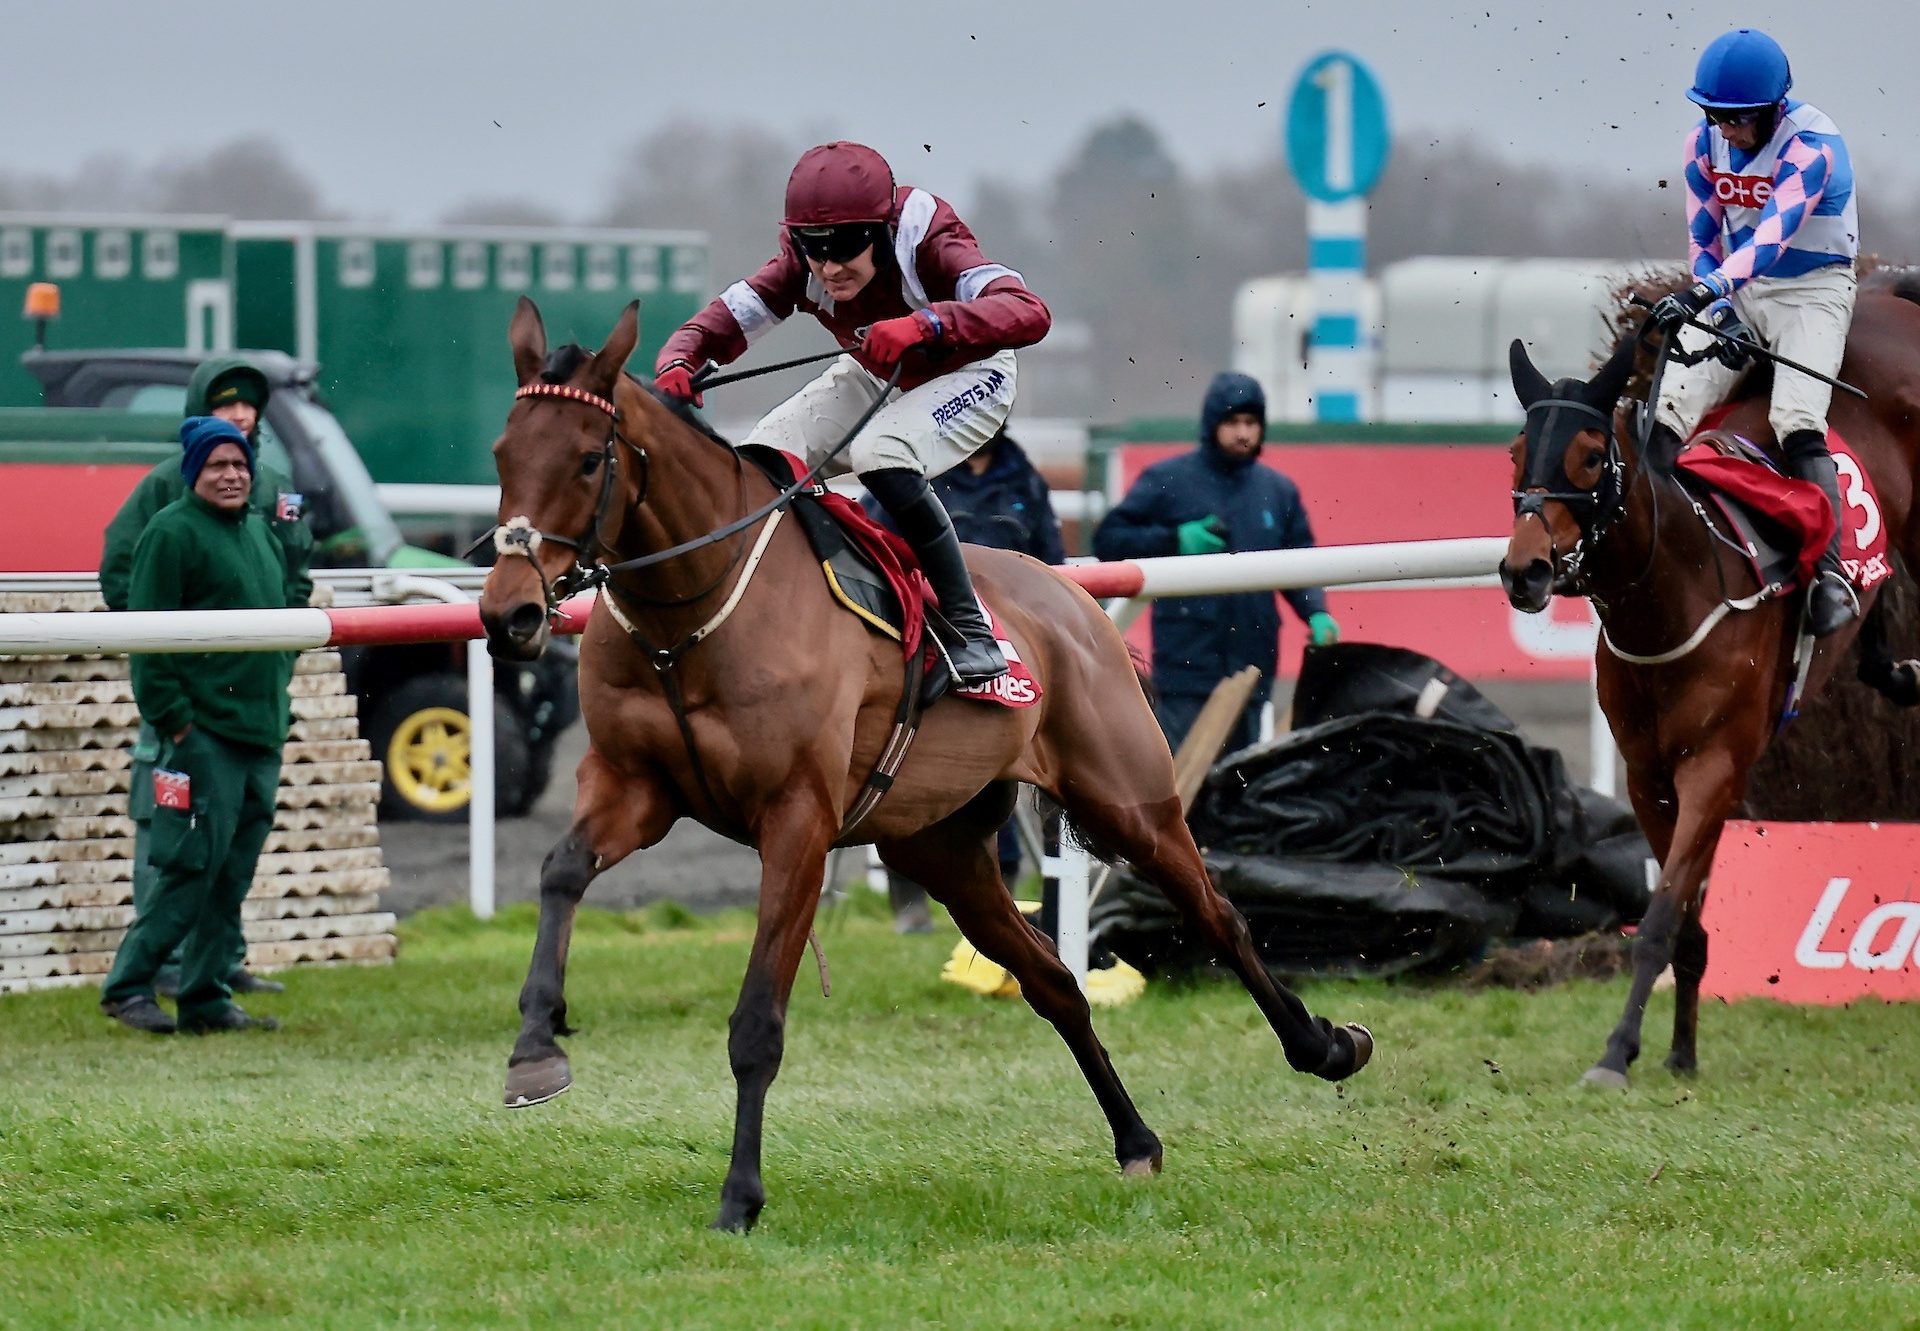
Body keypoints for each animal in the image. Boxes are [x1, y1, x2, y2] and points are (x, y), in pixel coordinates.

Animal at [474, 295, 1374, 1229]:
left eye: (587, 458)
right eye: (503, 453)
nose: (508, 613)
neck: (692, 610)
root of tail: (1071, 592)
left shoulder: (797, 821)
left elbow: (758, 1021)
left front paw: (739, 1195)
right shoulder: (633, 785)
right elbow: (560, 869)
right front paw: (535, 1047)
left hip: (1130, 800)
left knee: (1219, 917)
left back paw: (1325, 1044)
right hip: (943, 848)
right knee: (1053, 979)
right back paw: (1136, 1140)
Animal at [1497, 274, 1920, 1083]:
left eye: (1591, 456)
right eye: (1515, 453)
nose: (1523, 571)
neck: (1677, 595)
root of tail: (1889, 294)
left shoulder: (1714, 768)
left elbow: (1661, 914)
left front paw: (1617, 1052)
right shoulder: (1650, 776)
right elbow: (1686, 916)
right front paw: (1680, 1052)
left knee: (1807, 433)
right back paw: (1888, 661)